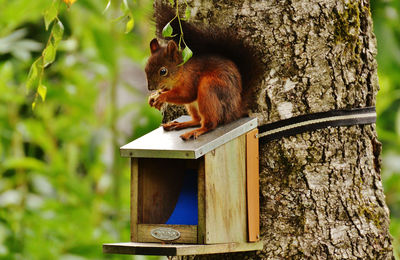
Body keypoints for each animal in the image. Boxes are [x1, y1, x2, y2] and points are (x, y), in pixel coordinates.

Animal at [145, 2, 260, 140]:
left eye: (163, 71)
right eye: (146, 67)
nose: (150, 88)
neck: (181, 72)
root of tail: (234, 111)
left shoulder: (191, 79)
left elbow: (187, 94)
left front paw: (161, 97)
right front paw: (153, 96)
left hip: (208, 90)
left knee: (210, 123)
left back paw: (196, 131)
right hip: (193, 106)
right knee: (197, 120)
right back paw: (179, 124)